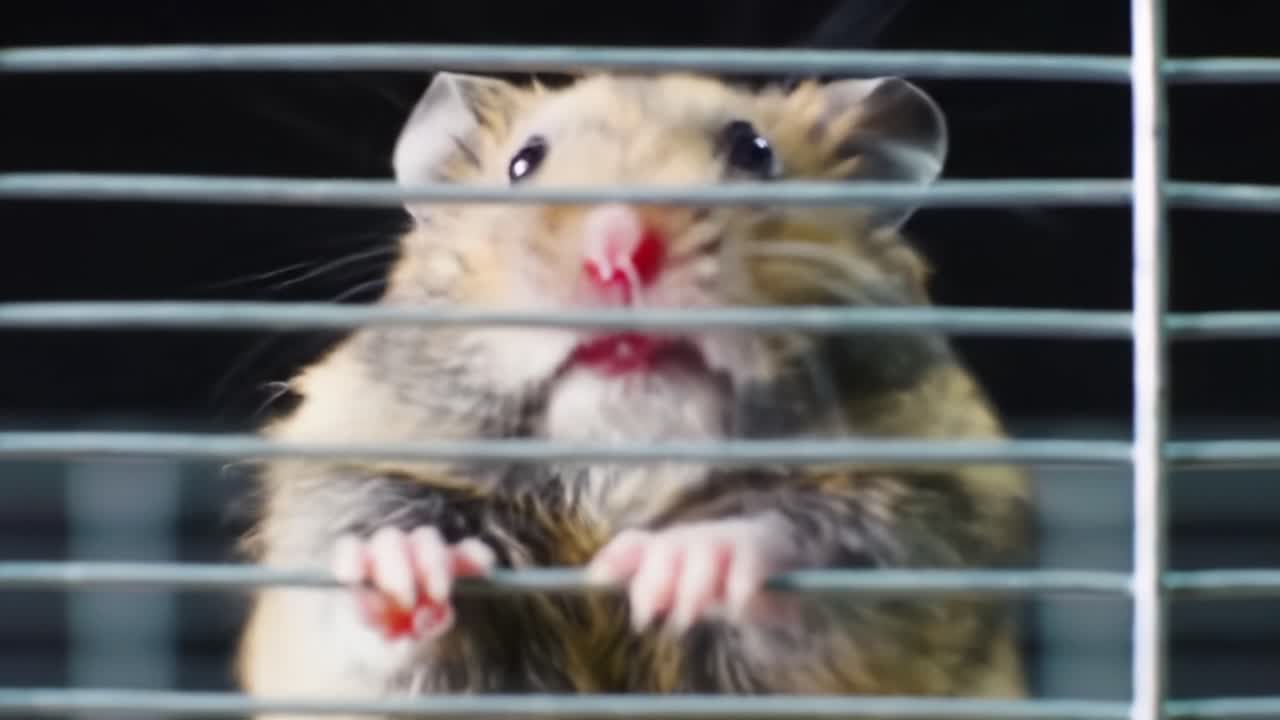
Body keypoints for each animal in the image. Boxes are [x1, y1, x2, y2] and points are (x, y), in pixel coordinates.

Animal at [234, 70, 1035, 718]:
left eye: (755, 151)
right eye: (523, 162)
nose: (618, 251)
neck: (617, 473)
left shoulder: (930, 515)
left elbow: (810, 547)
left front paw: (672, 569)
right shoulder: (345, 476)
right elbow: (369, 563)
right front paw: (408, 567)